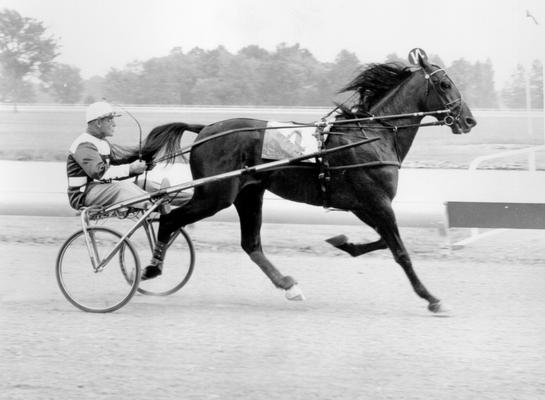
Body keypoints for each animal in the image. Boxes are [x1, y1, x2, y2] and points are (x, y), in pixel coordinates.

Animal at [138, 54, 474, 314]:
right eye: (445, 84)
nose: (469, 120)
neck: (371, 133)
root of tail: (206, 128)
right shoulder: (377, 201)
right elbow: (399, 250)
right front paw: (432, 299)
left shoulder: (364, 205)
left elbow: (382, 241)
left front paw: (343, 242)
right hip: (215, 195)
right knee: (171, 218)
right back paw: (151, 268)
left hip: (249, 194)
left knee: (251, 244)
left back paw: (288, 285)